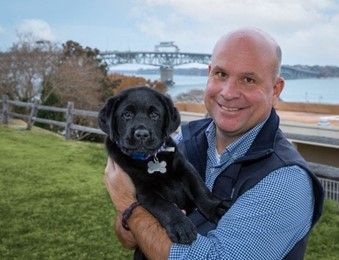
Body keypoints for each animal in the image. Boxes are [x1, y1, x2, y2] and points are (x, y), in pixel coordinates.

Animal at [99, 86, 230, 245]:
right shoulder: (144, 190)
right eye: (127, 115)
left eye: (155, 115)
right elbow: (163, 205)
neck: (149, 158)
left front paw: (215, 207)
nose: (142, 134)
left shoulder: (185, 168)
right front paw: (181, 225)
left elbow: (199, 188)